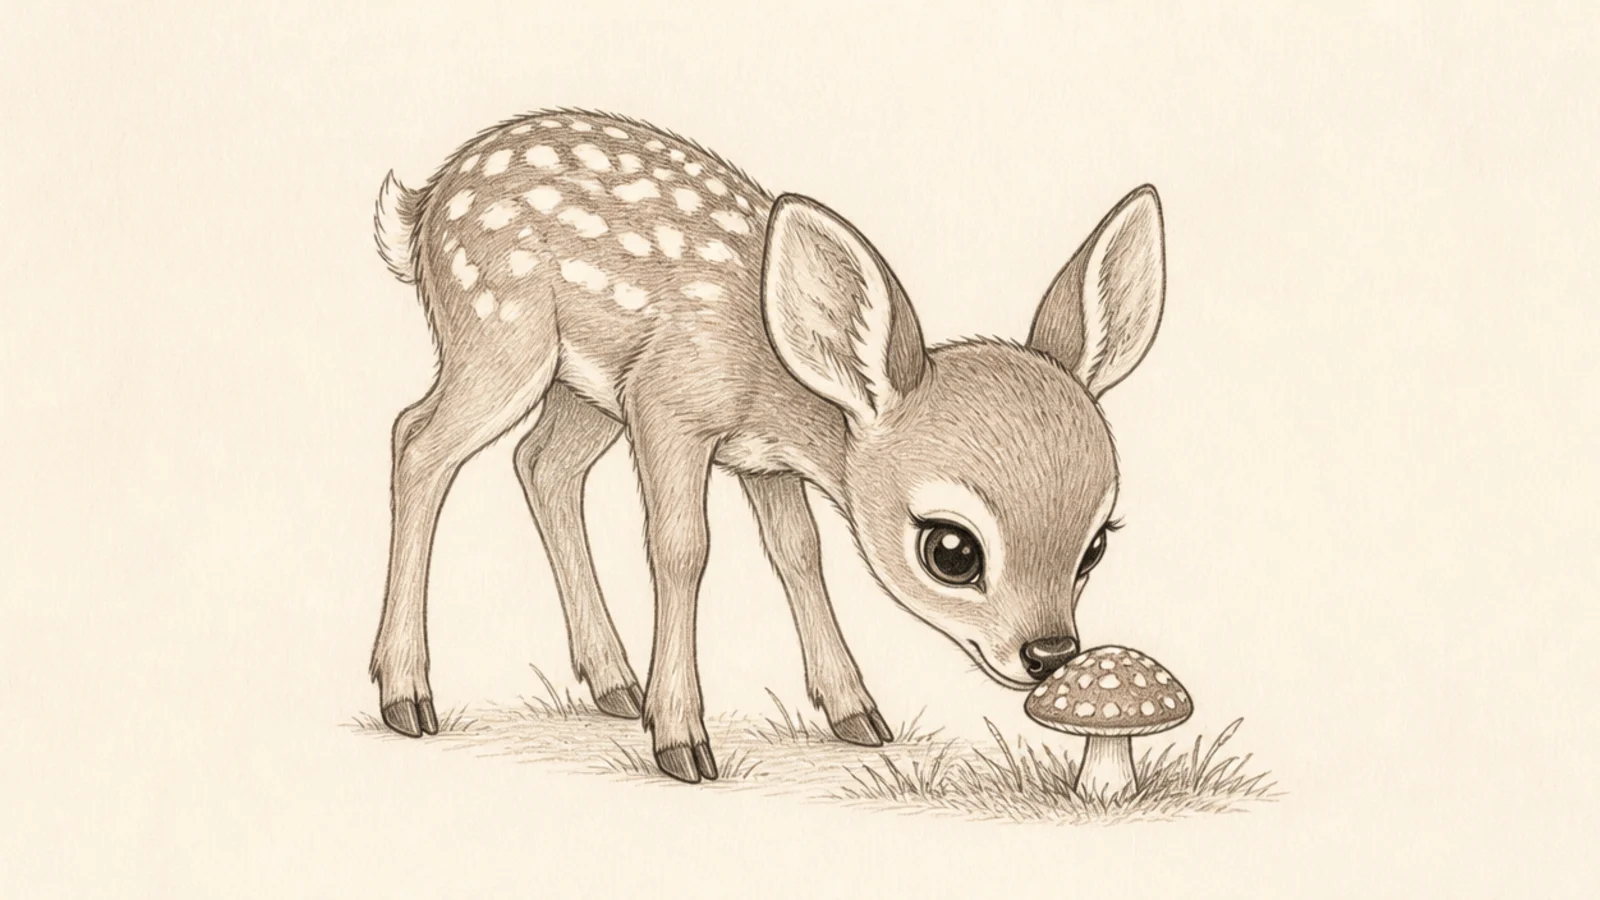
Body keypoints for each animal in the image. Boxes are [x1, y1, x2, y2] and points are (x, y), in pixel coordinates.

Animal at [369, 109, 1166, 783]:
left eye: (1096, 545)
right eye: (951, 551)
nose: (1051, 653)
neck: (780, 386)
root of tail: (425, 204)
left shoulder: (761, 459)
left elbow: (799, 552)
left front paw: (855, 712)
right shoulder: (668, 403)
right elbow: (682, 548)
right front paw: (682, 741)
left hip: (584, 386)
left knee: (540, 464)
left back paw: (614, 683)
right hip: (502, 331)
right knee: (418, 439)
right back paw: (406, 695)